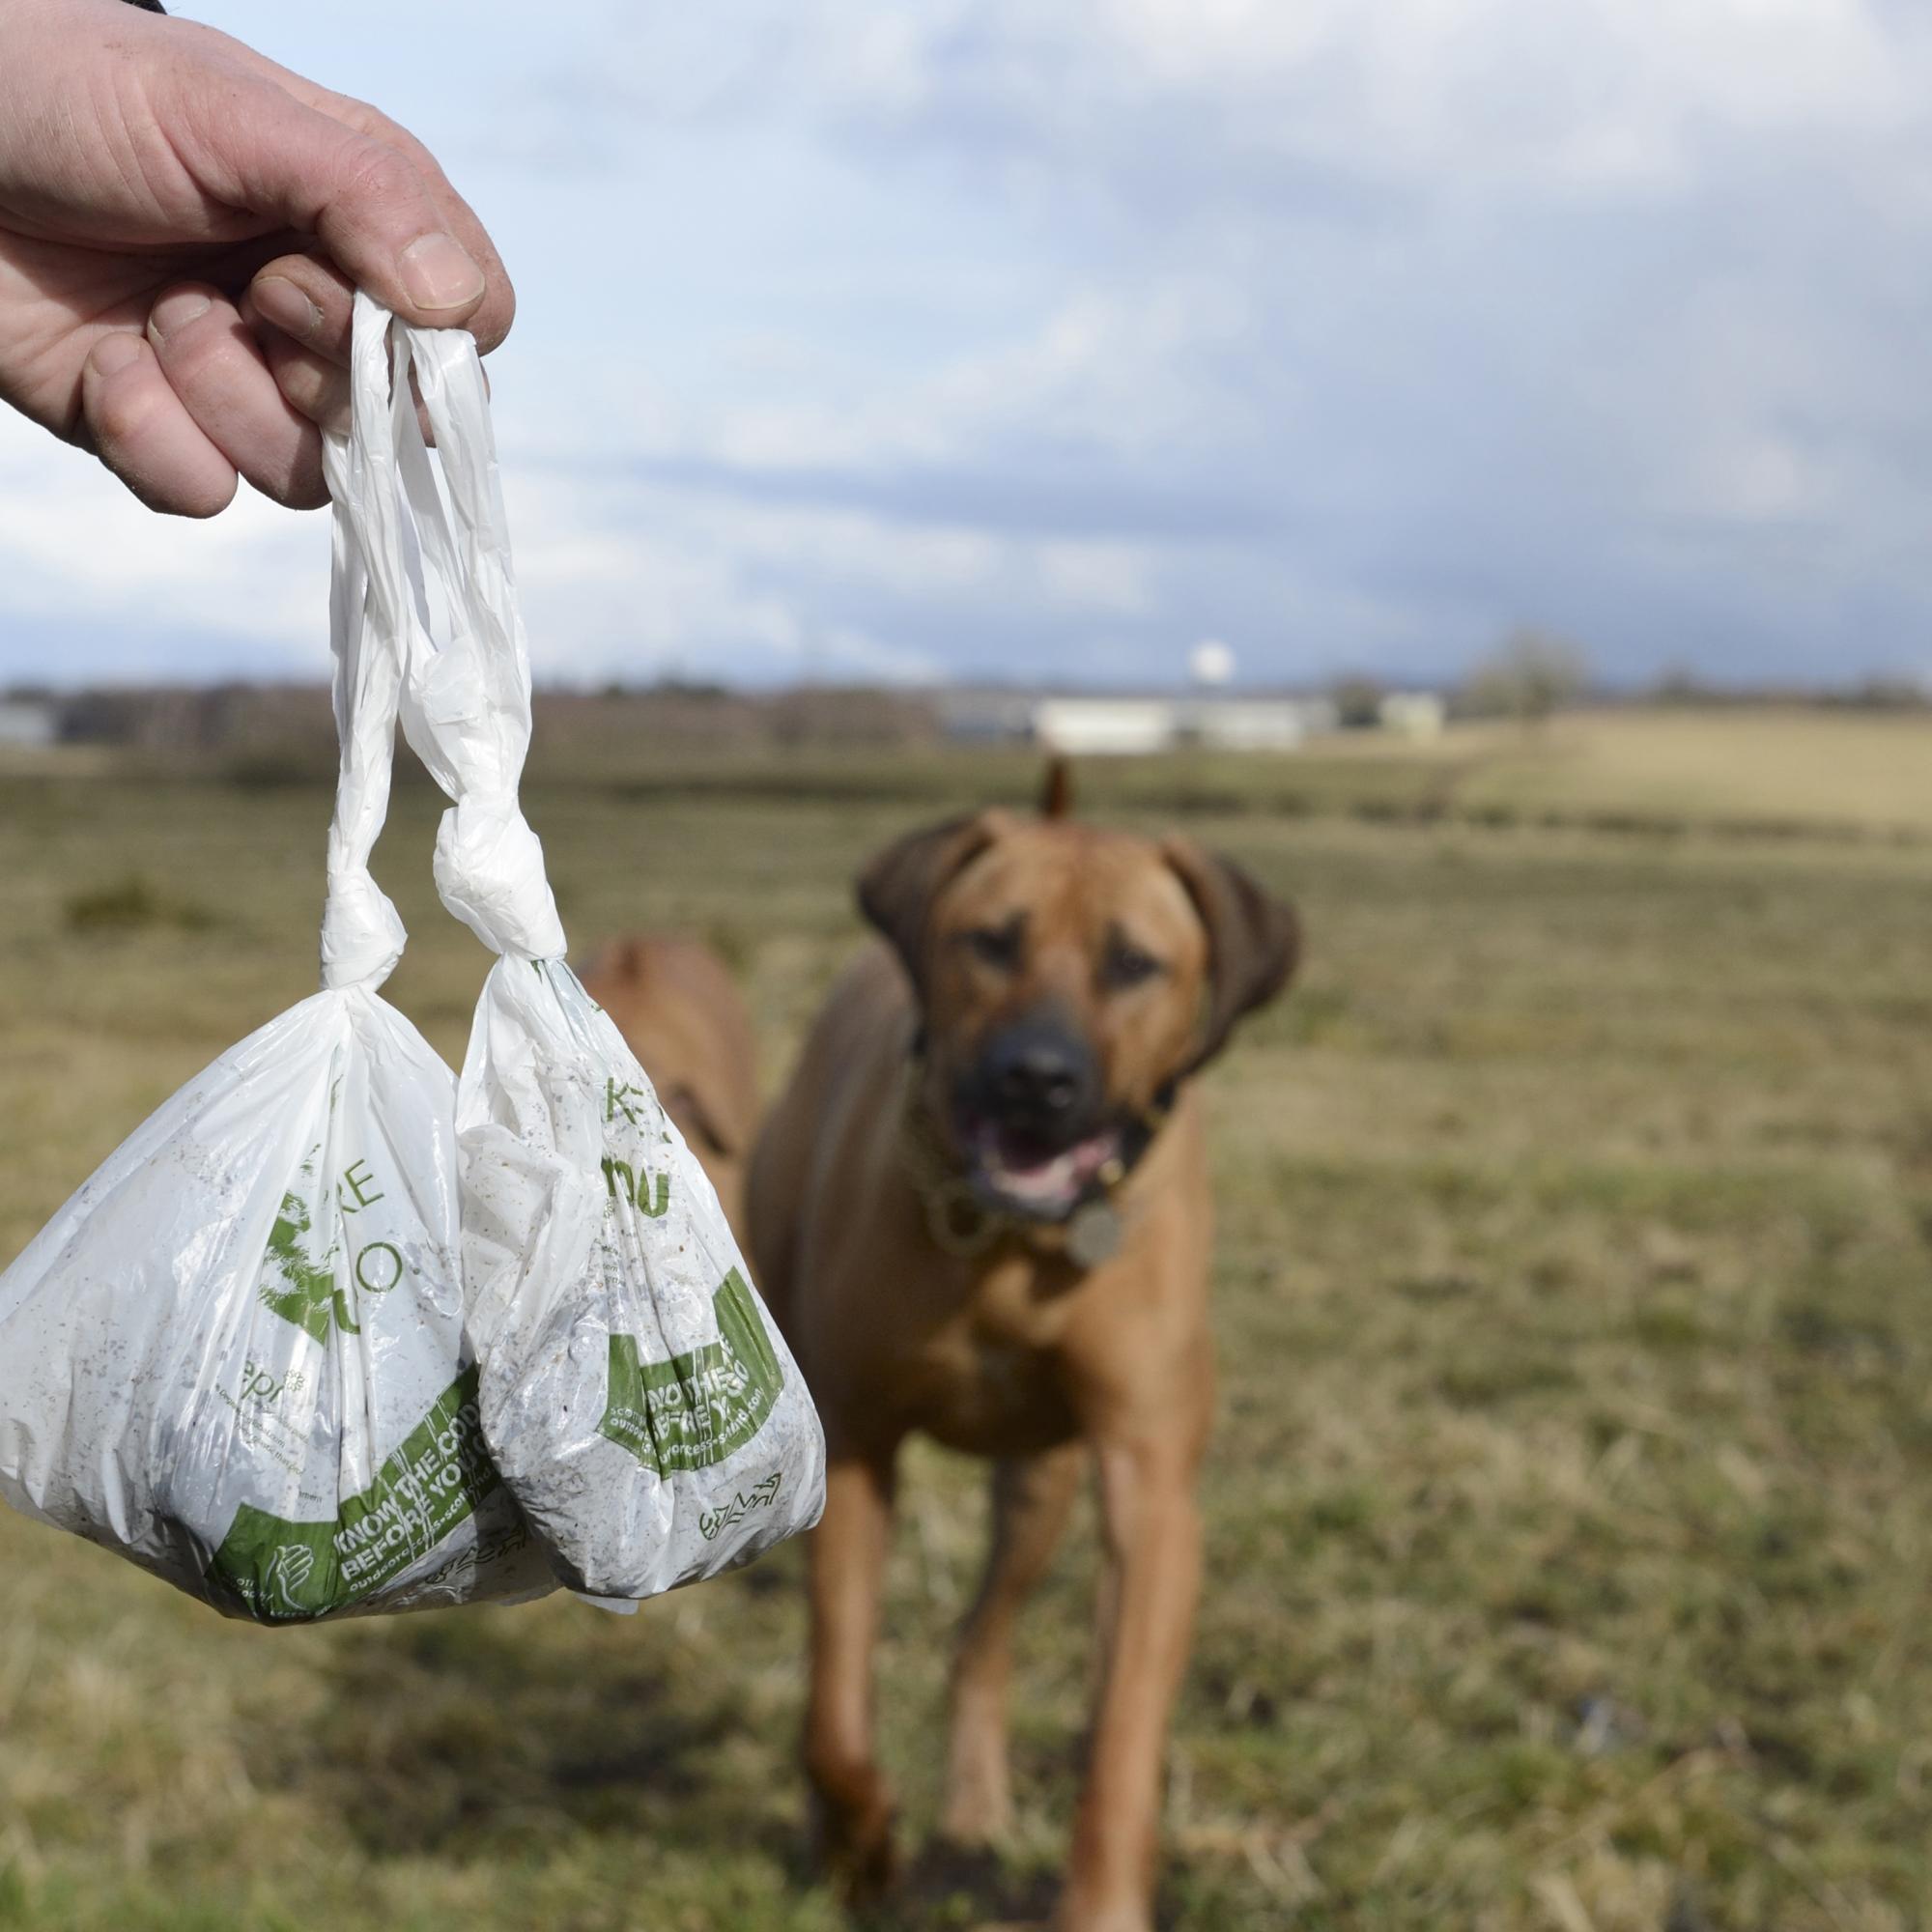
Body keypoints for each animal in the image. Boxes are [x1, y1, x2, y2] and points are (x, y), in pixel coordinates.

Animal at [750, 788, 1298, 1932]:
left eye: (1134, 962)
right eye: (991, 940)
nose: (1037, 1079)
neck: (1007, 1240)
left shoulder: (1147, 1487)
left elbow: (1122, 1739)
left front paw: (1099, 1902)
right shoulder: (854, 1443)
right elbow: (834, 1704)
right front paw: (861, 1844)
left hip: (1042, 1488)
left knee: (982, 1643)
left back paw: (973, 1804)